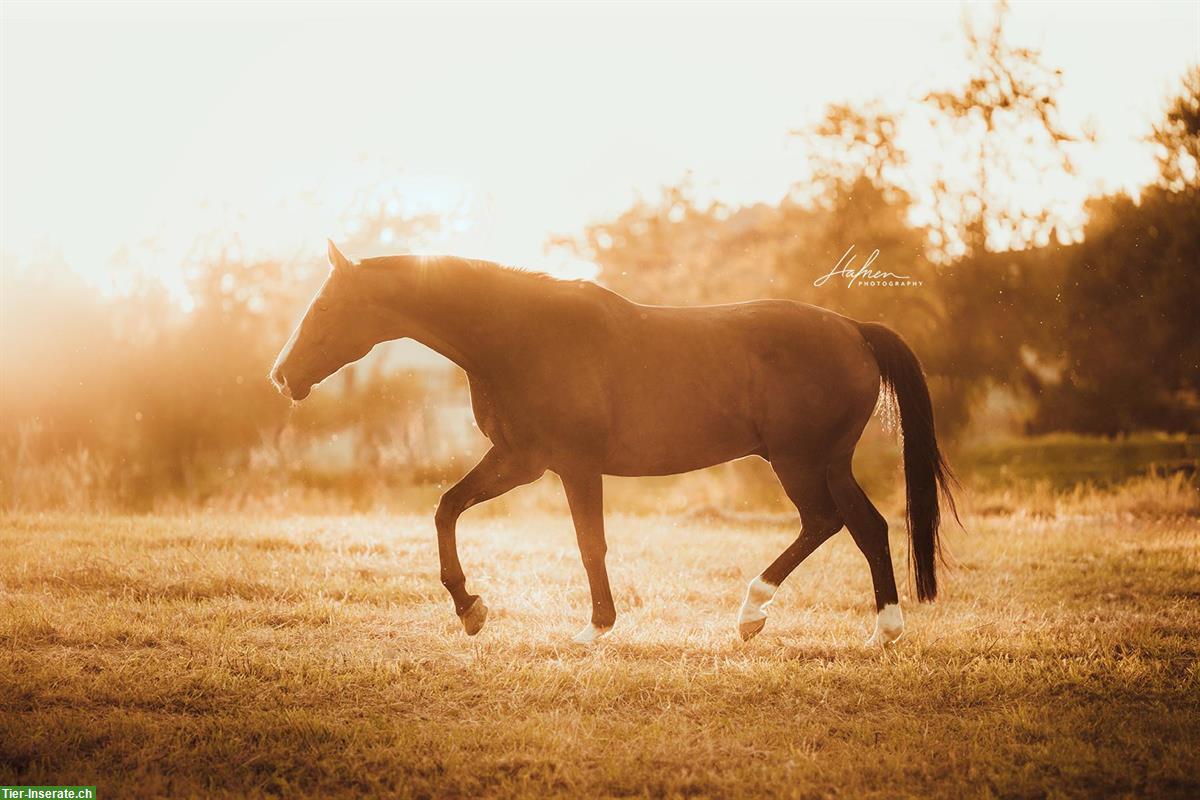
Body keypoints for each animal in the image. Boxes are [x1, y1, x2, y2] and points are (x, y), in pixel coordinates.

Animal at [272, 241, 955, 647]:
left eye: (326, 306)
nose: (282, 375)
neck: (523, 336)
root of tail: (854, 330)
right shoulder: (520, 461)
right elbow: (446, 508)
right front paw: (470, 608)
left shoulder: (573, 466)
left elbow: (589, 543)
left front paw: (595, 629)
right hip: (820, 463)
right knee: (856, 526)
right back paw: (858, 627)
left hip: (802, 462)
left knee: (835, 523)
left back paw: (770, 614)